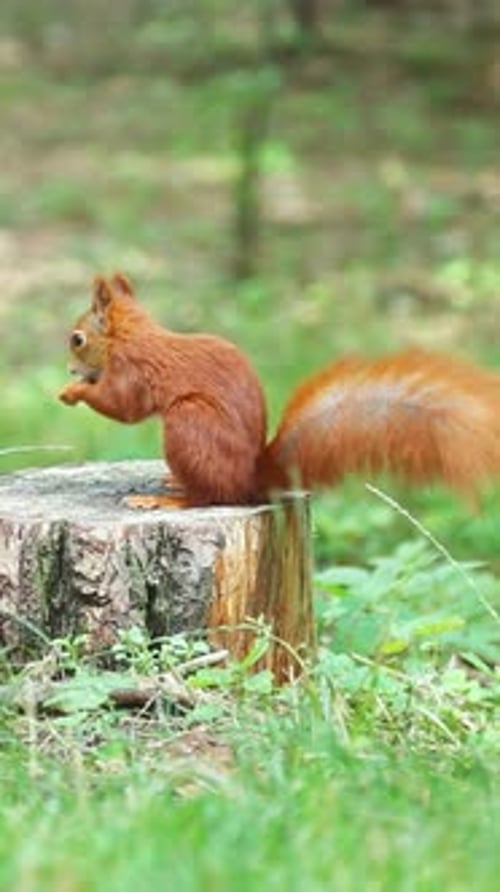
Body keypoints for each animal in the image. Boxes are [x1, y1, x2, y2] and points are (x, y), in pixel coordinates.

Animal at [59, 273, 500, 508]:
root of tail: (251, 478)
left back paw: (169, 499)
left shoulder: (132, 368)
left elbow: (123, 406)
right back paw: (172, 484)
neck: (129, 336)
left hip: (189, 424)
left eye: (77, 339)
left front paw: (71, 392)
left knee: (209, 496)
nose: (69, 368)